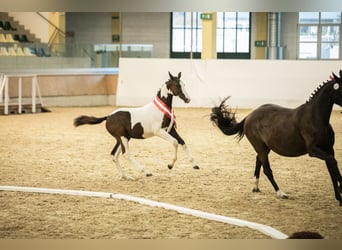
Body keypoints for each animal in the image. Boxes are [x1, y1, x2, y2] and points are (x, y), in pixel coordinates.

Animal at [210, 70, 342, 205]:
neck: (315, 118)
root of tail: (249, 116)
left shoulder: (328, 149)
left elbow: (332, 169)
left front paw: (339, 197)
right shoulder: (313, 150)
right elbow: (333, 162)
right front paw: (341, 189)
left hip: (265, 148)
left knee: (258, 161)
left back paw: (256, 187)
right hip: (261, 148)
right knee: (267, 170)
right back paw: (281, 193)